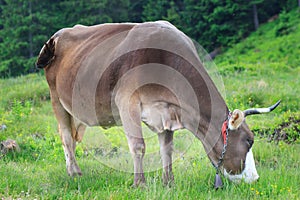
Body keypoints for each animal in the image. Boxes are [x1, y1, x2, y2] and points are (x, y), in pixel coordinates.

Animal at [36, 21, 280, 187]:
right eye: (248, 140)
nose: (255, 178)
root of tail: (59, 35)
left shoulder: (167, 109)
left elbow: (167, 149)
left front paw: (168, 181)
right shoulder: (127, 102)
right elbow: (138, 146)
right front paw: (140, 184)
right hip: (56, 98)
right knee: (66, 137)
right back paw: (74, 172)